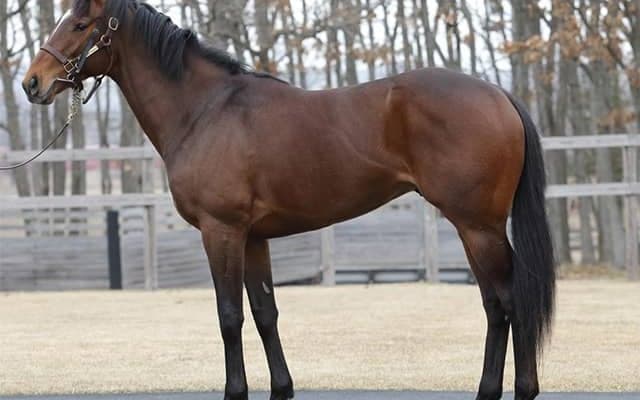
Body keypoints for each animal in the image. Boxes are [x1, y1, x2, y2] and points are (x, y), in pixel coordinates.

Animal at [23, 1, 555, 399]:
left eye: (80, 25)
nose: (32, 82)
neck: (204, 111)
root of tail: (499, 94)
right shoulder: (254, 238)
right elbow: (265, 313)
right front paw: (281, 387)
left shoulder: (222, 231)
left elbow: (229, 315)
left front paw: (235, 391)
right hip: (476, 228)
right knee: (497, 303)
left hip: (477, 227)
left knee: (508, 302)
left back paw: (511, 389)